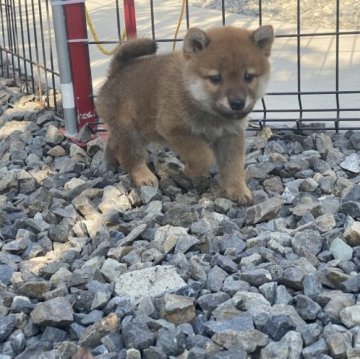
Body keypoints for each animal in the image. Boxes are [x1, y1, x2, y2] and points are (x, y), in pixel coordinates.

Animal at [97, 25, 274, 205]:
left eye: (248, 77)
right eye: (215, 78)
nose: (237, 103)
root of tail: (116, 72)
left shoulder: (231, 136)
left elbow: (234, 167)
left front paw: (238, 190)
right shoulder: (175, 129)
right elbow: (202, 156)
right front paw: (190, 171)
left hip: (139, 130)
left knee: (114, 142)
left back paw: (109, 160)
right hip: (130, 131)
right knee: (132, 157)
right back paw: (144, 176)